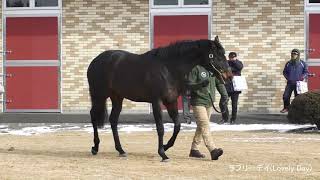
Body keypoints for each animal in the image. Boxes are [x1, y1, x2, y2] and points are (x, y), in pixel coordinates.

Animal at [87, 35, 230, 161]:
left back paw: (121, 150)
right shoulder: (157, 101)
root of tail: (95, 60)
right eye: (217, 55)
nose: (229, 75)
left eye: (223, 54)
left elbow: (177, 126)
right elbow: (160, 128)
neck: (168, 68)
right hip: (98, 95)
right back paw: (95, 147)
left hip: (117, 97)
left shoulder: (171, 101)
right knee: (93, 115)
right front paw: (162, 154)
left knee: (113, 120)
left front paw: (166, 147)